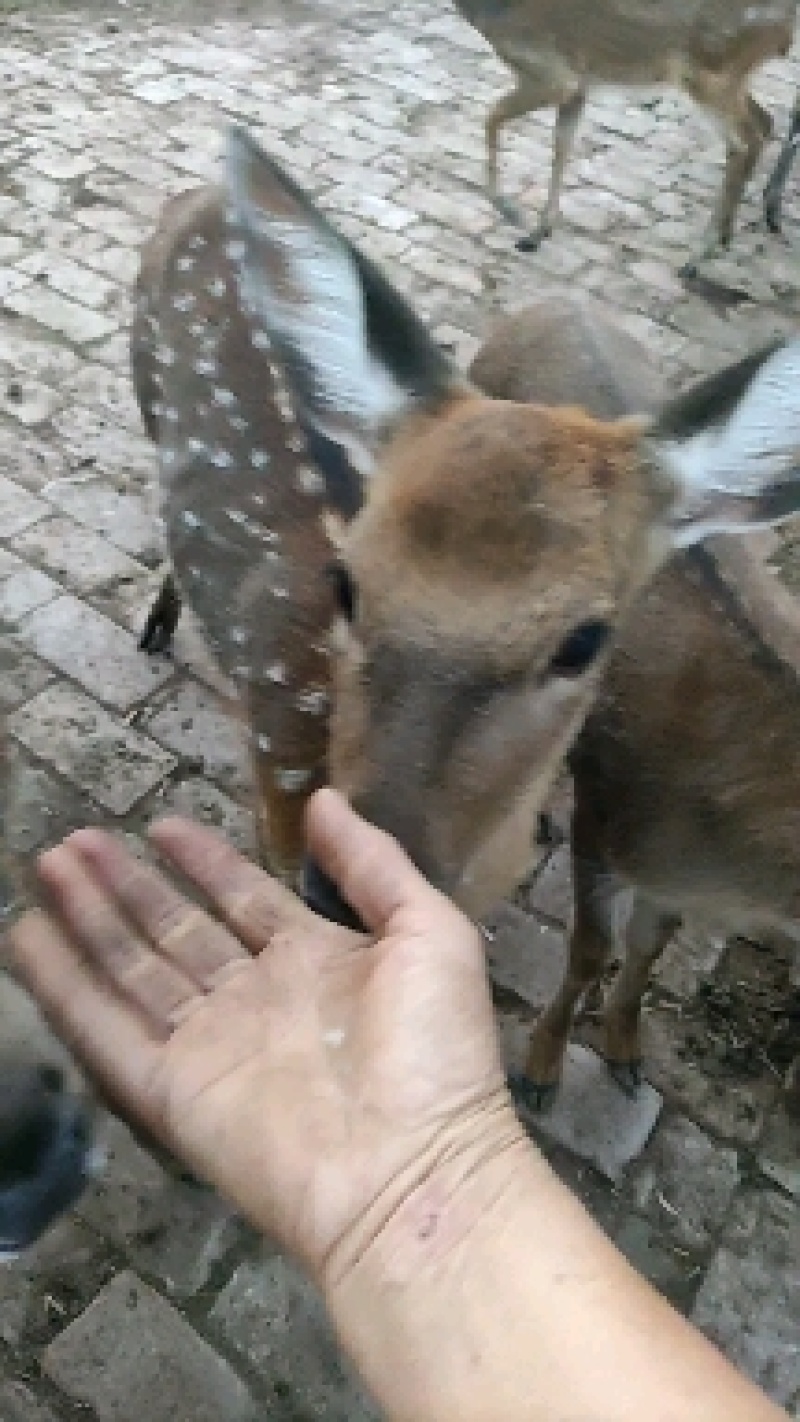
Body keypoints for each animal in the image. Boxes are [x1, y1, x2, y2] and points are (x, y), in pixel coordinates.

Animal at [451, 0, 796, 259]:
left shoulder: (552, 74)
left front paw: (511, 212)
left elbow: (491, 118)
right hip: (728, 78)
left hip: (710, 74)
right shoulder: (578, 84)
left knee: (744, 140)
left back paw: (701, 253)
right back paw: (727, 235)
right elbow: (561, 147)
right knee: (763, 124)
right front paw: (538, 232)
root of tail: (789, 24)